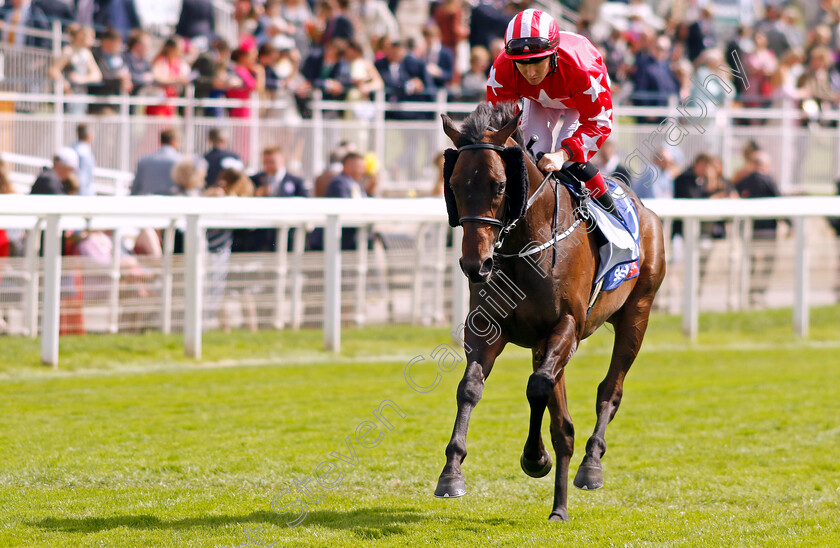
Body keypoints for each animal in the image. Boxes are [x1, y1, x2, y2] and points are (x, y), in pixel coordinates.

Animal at [436, 104, 668, 524]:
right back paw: (559, 507)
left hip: (637, 313)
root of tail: (645, 211)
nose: (476, 265)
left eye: (499, 185)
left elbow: (538, 387)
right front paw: (452, 472)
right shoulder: (489, 329)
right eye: (456, 185)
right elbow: (470, 387)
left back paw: (590, 466)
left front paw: (534, 457)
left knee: (609, 390)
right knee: (562, 419)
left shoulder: (568, 326)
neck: (526, 243)